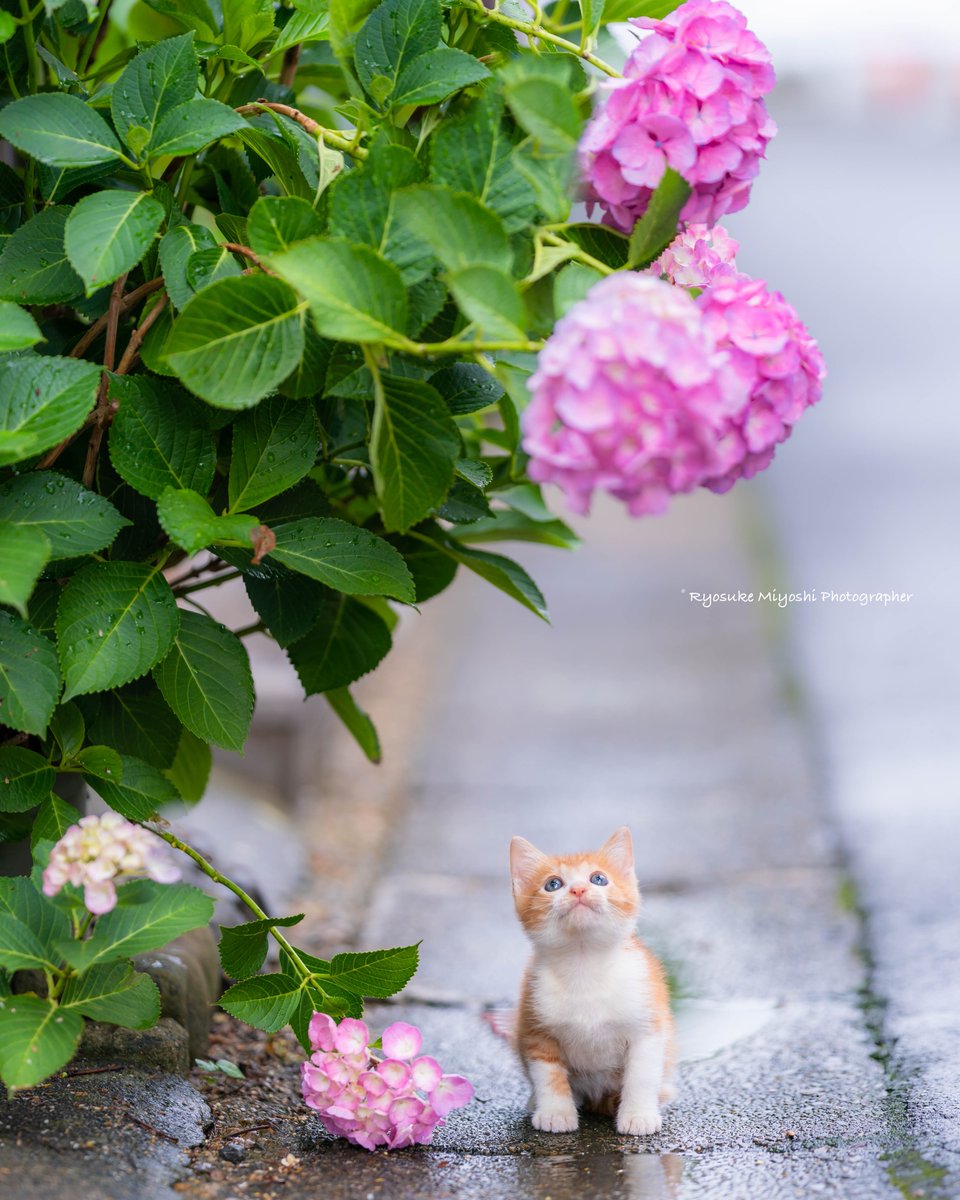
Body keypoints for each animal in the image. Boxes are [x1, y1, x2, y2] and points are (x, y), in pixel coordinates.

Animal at [508, 825, 676, 1132]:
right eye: (553, 884)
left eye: (599, 879)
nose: (579, 889)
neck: (584, 964)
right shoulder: (535, 1024)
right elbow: (547, 1073)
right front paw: (555, 1113)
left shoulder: (647, 1025)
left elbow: (641, 1075)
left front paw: (638, 1115)